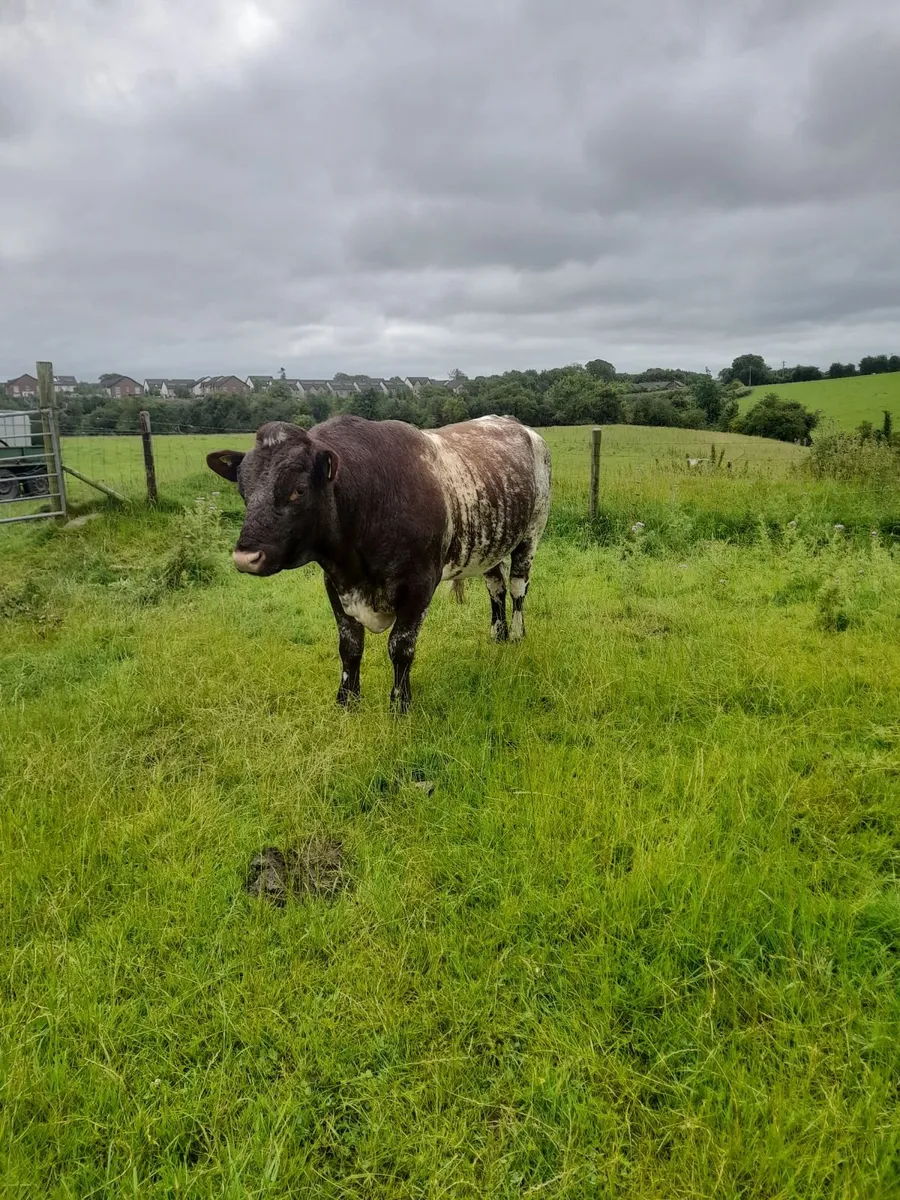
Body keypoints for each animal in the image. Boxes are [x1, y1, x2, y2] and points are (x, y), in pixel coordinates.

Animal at [206, 413, 551, 711]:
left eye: (299, 489)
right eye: (243, 490)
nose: (245, 557)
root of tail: (513, 422)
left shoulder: (419, 586)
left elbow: (401, 647)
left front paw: (400, 705)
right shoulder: (335, 584)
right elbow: (350, 647)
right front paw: (347, 702)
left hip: (531, 535)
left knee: (517, 589)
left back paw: (516, 636)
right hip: (491, 546)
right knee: (496, 589)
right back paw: (498, 636)